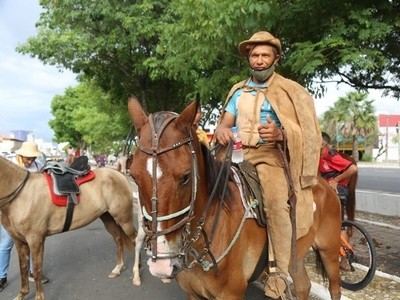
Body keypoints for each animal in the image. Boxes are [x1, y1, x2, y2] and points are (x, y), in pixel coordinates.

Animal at [0, 157, 138, 300]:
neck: (21, 196)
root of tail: (118, 174)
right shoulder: (19, 241)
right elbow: (23, 268)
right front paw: (22, 294)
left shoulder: (36, 240)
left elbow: (37, 270)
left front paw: (39, 297)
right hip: (108, 218)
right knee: (118, 239)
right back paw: (117, 269)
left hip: (124, 219)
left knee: (136, 240)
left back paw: (136, 275)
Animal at [127, 96, 340, 300]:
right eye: (134, 176)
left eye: (186, 177)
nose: (161, 265)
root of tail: (323, 184)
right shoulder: (192, 294)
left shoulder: (231, 293)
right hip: (296, 258)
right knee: (303, 285)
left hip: (329, 250)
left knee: (334, 289)